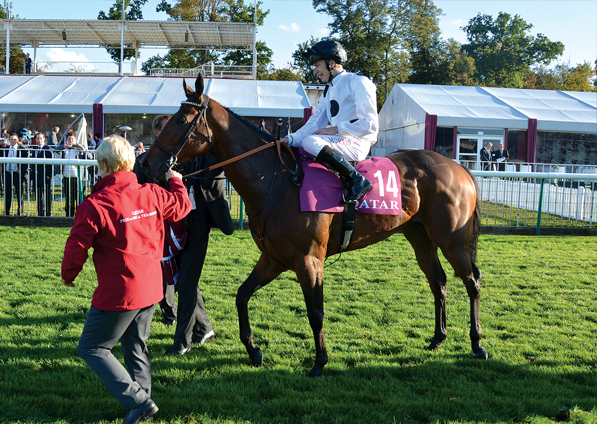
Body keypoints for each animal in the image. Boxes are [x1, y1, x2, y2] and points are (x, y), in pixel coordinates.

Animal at [142, 74, 486, 376]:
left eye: (181, 121)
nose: (147, 164)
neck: (277, 180)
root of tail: (458, 168)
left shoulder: (308, 260)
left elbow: (316, 312)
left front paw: (319, 361)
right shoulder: (274, 257)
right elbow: (241, 295)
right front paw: (254, 350)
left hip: (452, 240)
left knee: (472, 281)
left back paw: (477, 344)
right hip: (420, 237)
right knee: (438, 282)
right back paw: (437, 338)